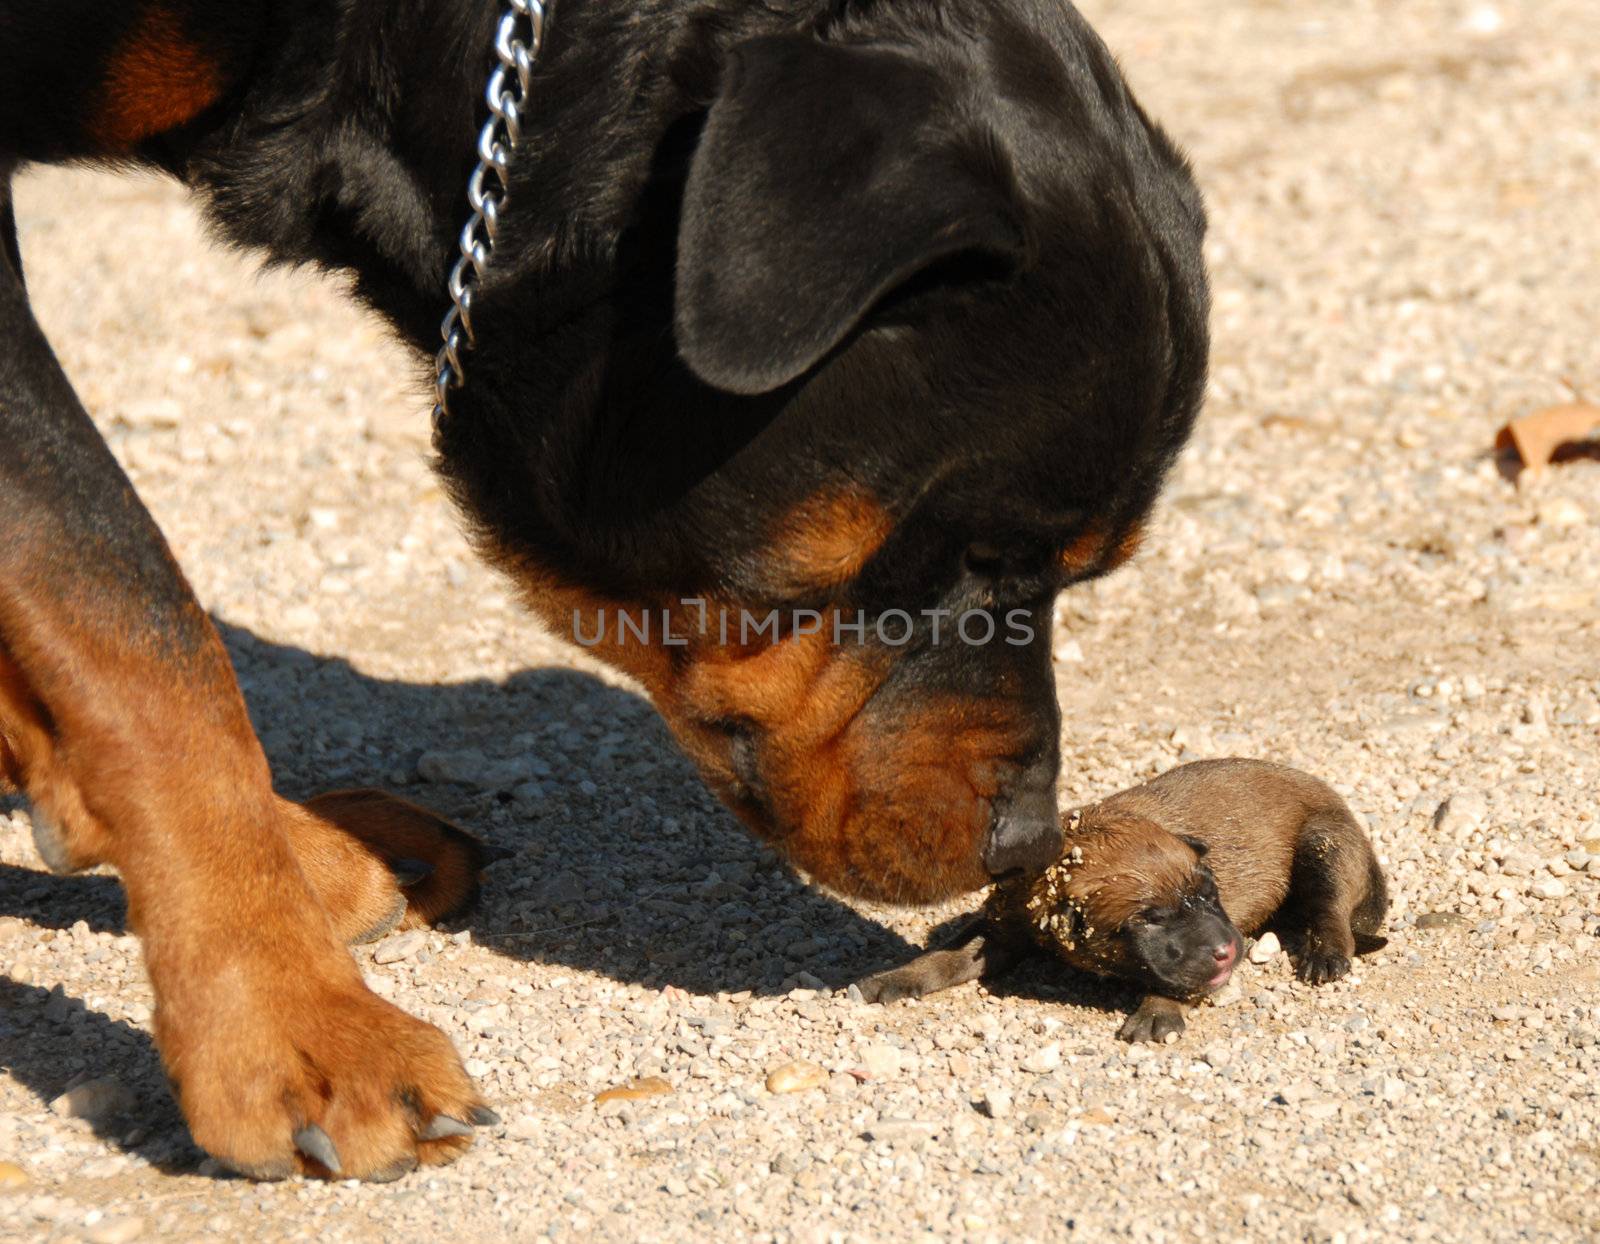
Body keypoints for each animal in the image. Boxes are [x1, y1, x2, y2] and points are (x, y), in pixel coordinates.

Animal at [864, 754, 1388, 1036]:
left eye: (1211, 891)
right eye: (1150, 918)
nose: (1228, 949)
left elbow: (1180, 979)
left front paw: (1157, 1012)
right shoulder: (1005, 923)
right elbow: (948, 954)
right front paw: (896, 977)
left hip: (1324, 843)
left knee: (1331, 909)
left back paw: (1324, 955)